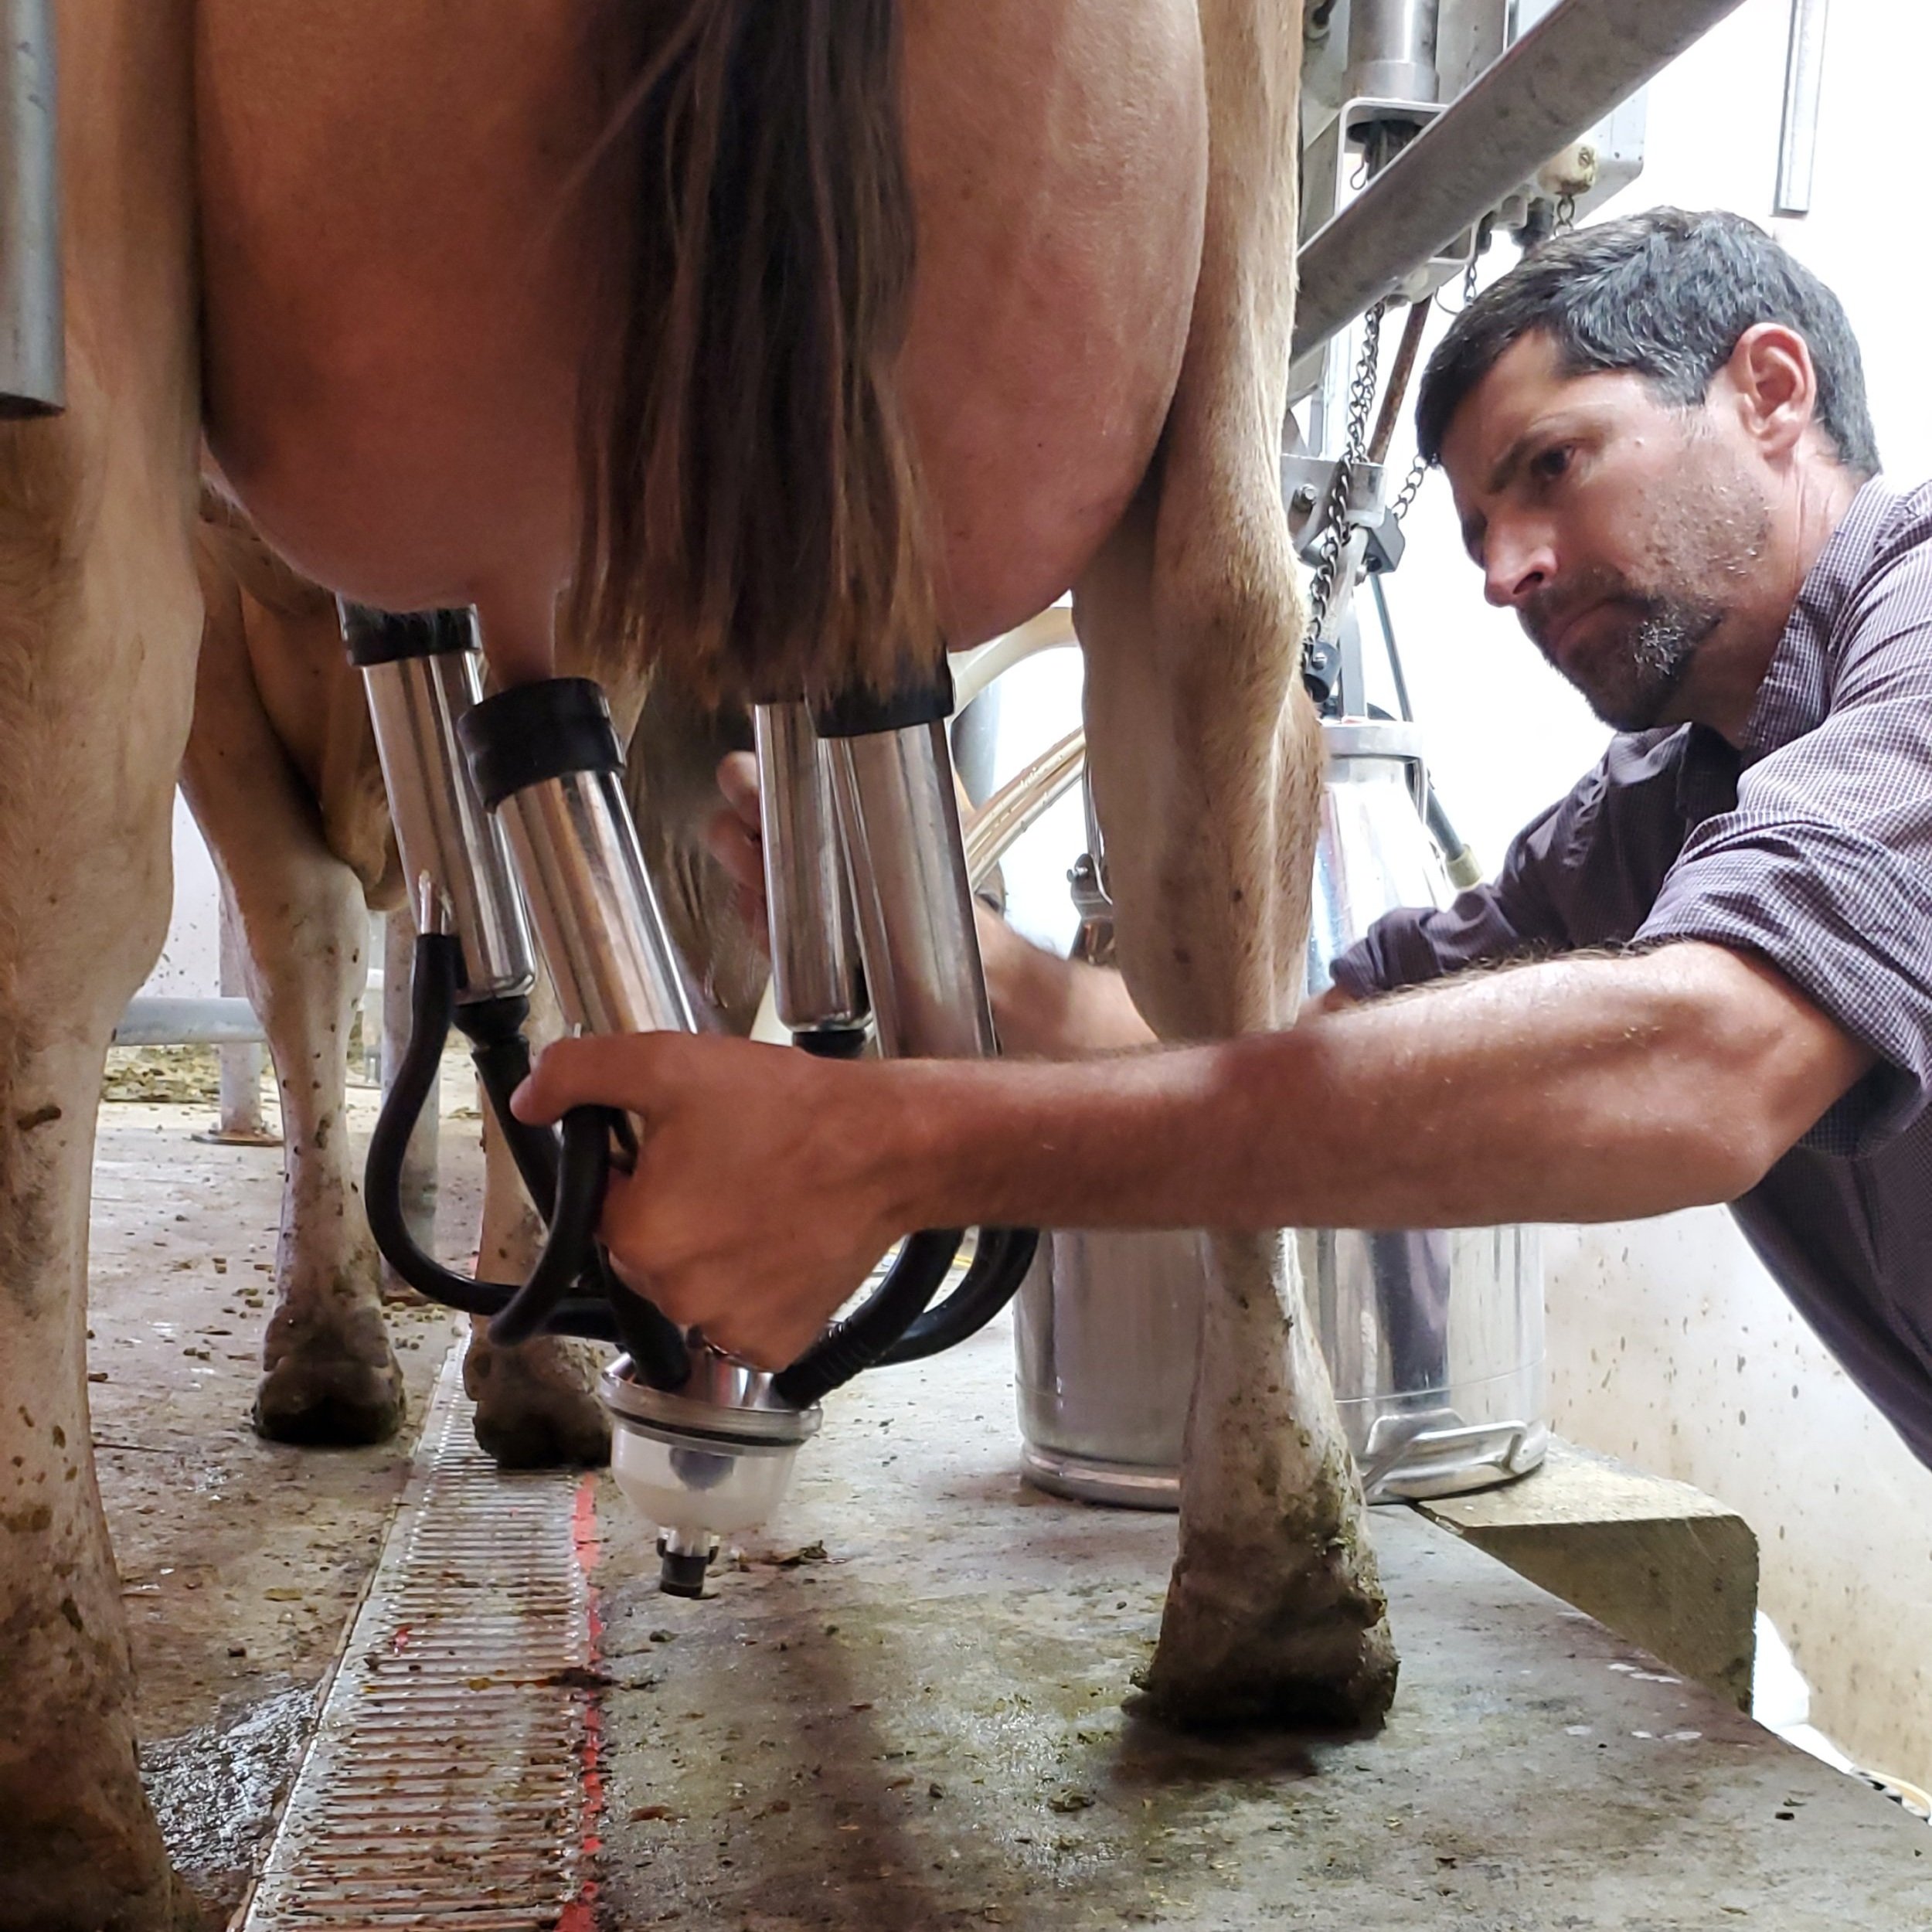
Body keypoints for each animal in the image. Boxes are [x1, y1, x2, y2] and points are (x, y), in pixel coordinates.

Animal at [0, 7, 1391, 1924]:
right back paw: (1279, 1609)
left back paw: (63, 1791)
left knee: (69, 857)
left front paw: (362, 1356)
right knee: (1215, 754)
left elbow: (314, 945)